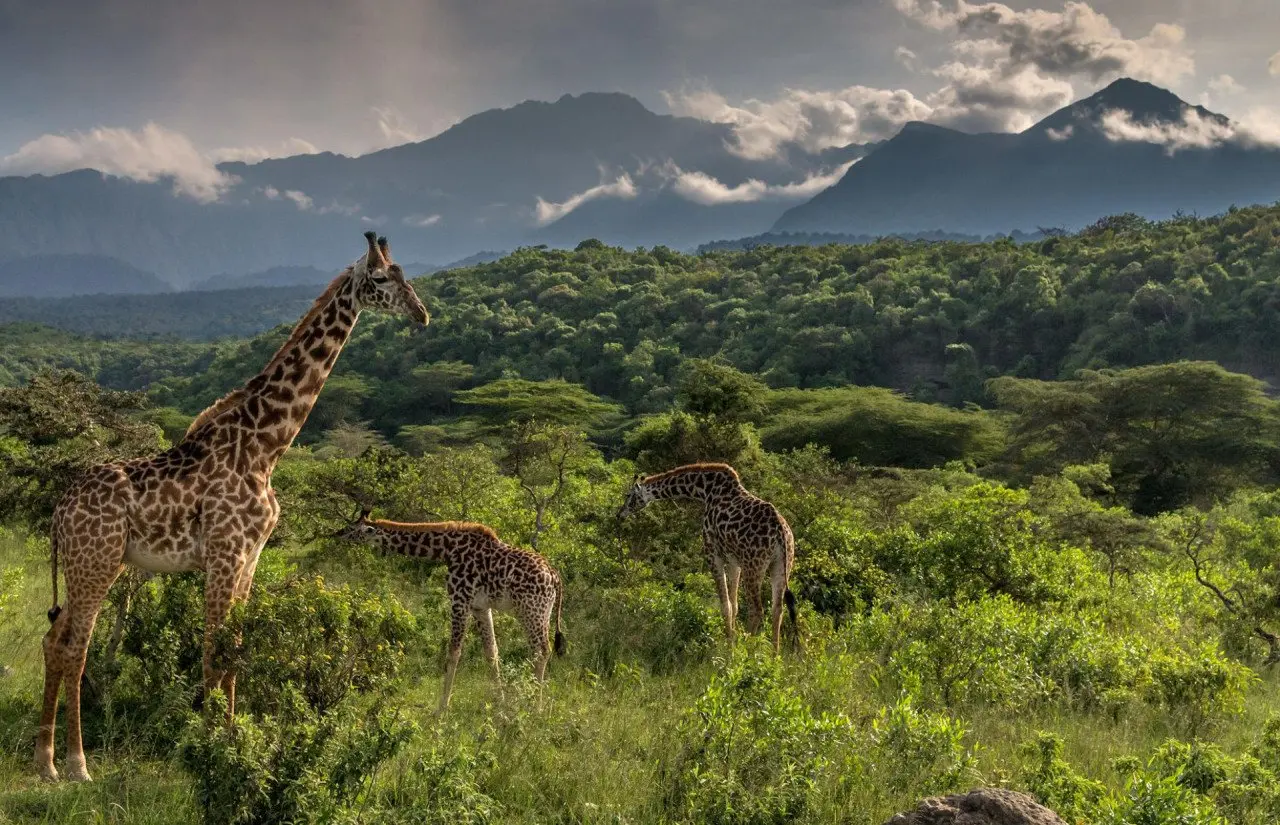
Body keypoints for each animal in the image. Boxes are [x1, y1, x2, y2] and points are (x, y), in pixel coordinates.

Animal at [35, 230, 430, 777]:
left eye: (403, 273)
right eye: (378, 278)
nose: (421, 314)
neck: (266, 446)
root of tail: (59, 511)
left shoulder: (250, 557)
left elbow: (235, 649)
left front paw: (232, 737)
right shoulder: (224, 553)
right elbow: (211, 650)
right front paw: (207, 748)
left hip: (85, 563)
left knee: (53, 640)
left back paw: (45, 761)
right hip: (98, 561)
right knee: (76, 646)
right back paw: (76, 764)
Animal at [335, 503, 565, 711]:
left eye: (352, 528)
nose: (336, 533)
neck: (447, 550)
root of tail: (555, 577)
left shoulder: (459, 600)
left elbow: (454, 652)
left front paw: (441, 710)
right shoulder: (480, 607)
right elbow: (491, 652)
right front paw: (499, 706)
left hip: (531, 611)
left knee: (542, 650)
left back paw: (535, 708)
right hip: (544, 613)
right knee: (540, 650)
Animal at [616, 463, 793, 649]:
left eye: (629, 495)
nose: (619, 514)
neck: (704, 490)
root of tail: (780, 531)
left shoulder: (712, 553)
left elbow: (725, 605)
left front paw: (729, 647)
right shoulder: (734, 561)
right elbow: (734, 604)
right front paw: (733, 640)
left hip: (754, 565)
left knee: (756, 610)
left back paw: (749, 650)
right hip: (782, 565)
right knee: (777, 609)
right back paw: (775, 654)